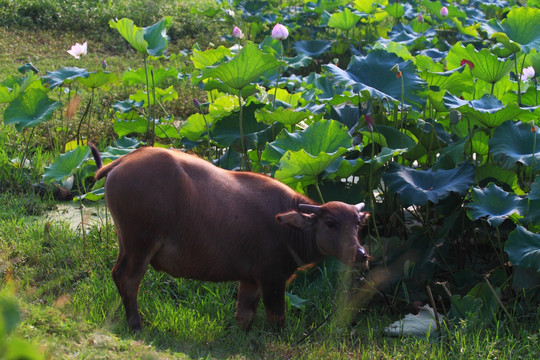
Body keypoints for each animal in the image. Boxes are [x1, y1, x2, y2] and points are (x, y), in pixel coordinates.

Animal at [90, 144, 370, 332]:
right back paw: (136, 324)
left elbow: (244, 315)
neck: (287, 229)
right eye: (331, 223)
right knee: (128, 278)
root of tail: (122, 160)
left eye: (357, 223)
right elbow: (276, 318)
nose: (361, 255)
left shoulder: (249, 280)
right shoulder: (272, 278)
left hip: (126, 242)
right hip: (140, 243)